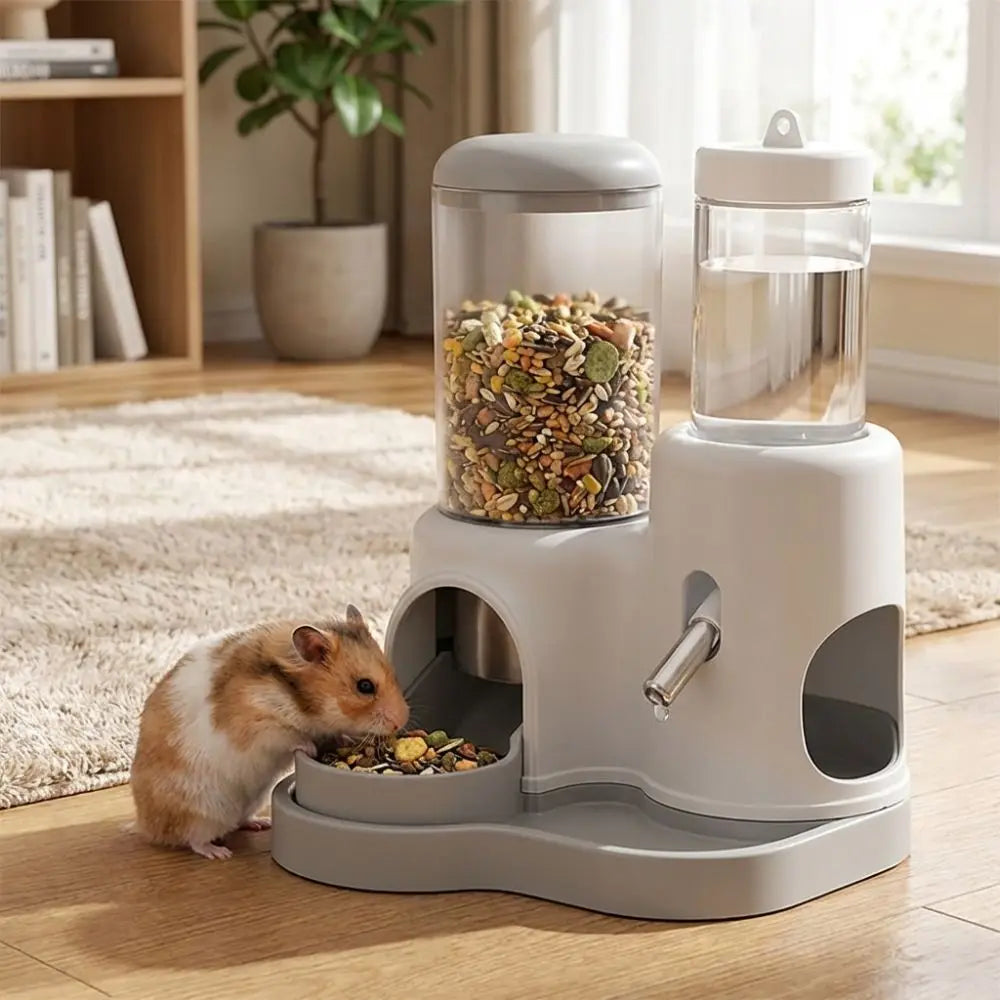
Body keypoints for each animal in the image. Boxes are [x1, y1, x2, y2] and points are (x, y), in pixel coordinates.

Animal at [129, 604, 409, 860]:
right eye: (365, 686)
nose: (401, 722)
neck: (301, 700)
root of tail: (145, 825)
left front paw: (345, 737)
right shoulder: (260, 724)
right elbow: (290, 736)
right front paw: (310, 748)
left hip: (251, 800)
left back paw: (261, 824)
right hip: (201, 813)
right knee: (194, 840)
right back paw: (221, 853)